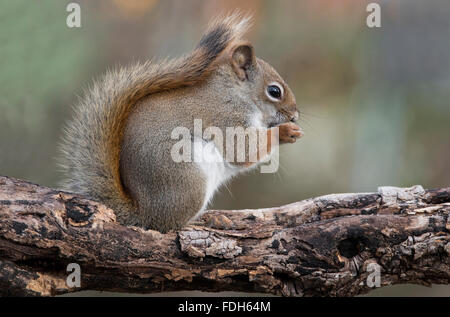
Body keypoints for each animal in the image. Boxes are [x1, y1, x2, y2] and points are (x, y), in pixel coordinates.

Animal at [59, 14, 304, 232]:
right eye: (274, 91)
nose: (294, 116)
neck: (236, 93)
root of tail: (143, 213)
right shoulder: (227, 118)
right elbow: (243, 151)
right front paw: (284, 132)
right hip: (187, 177)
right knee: (171, 225)